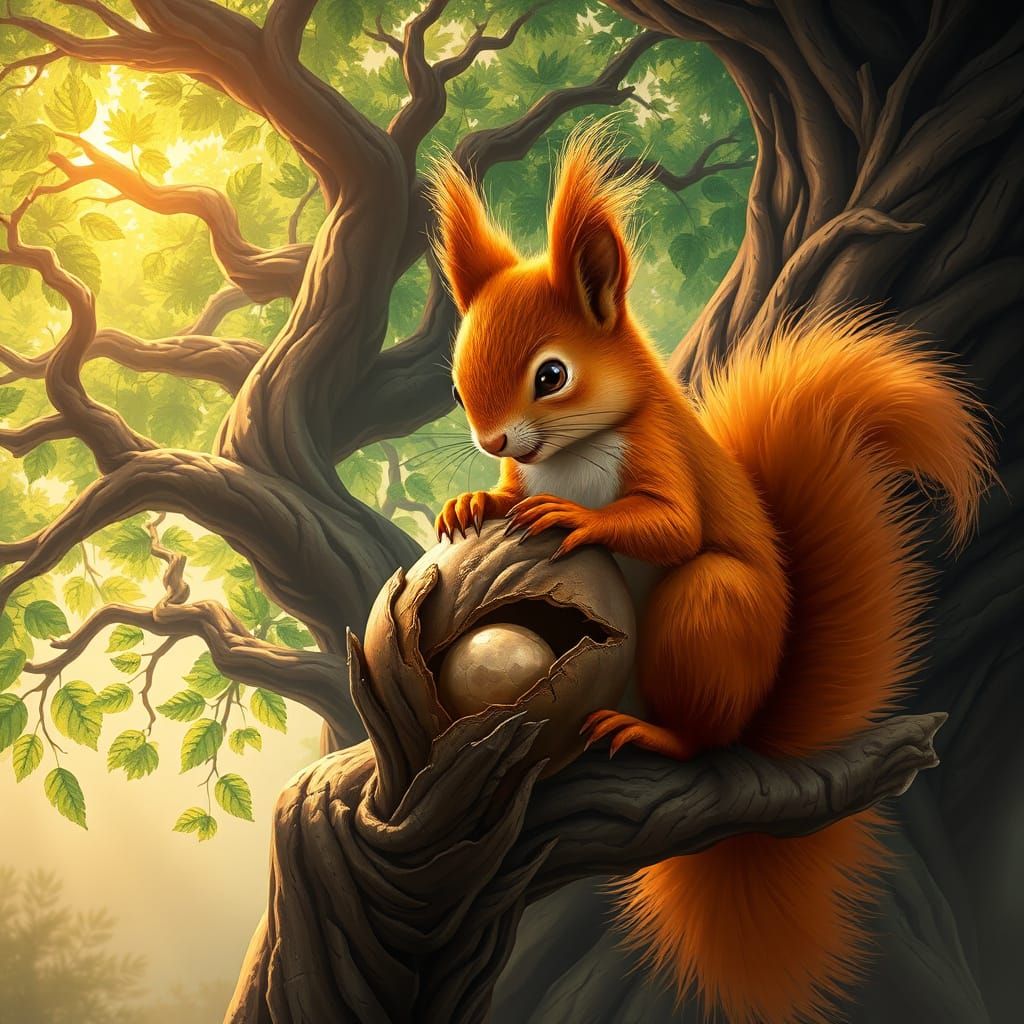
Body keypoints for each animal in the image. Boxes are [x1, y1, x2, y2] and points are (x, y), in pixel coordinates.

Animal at [427, 124, 993, 1024]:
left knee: (700, 732)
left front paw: (575, 521)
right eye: (455, 379)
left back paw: (654, 735)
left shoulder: (661, 454)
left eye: (551, 375)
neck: (572, 454)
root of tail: (756, 718)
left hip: (710, 611)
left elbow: (673, 526)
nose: (492, 441)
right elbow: (509, 499)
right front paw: (471, 499)